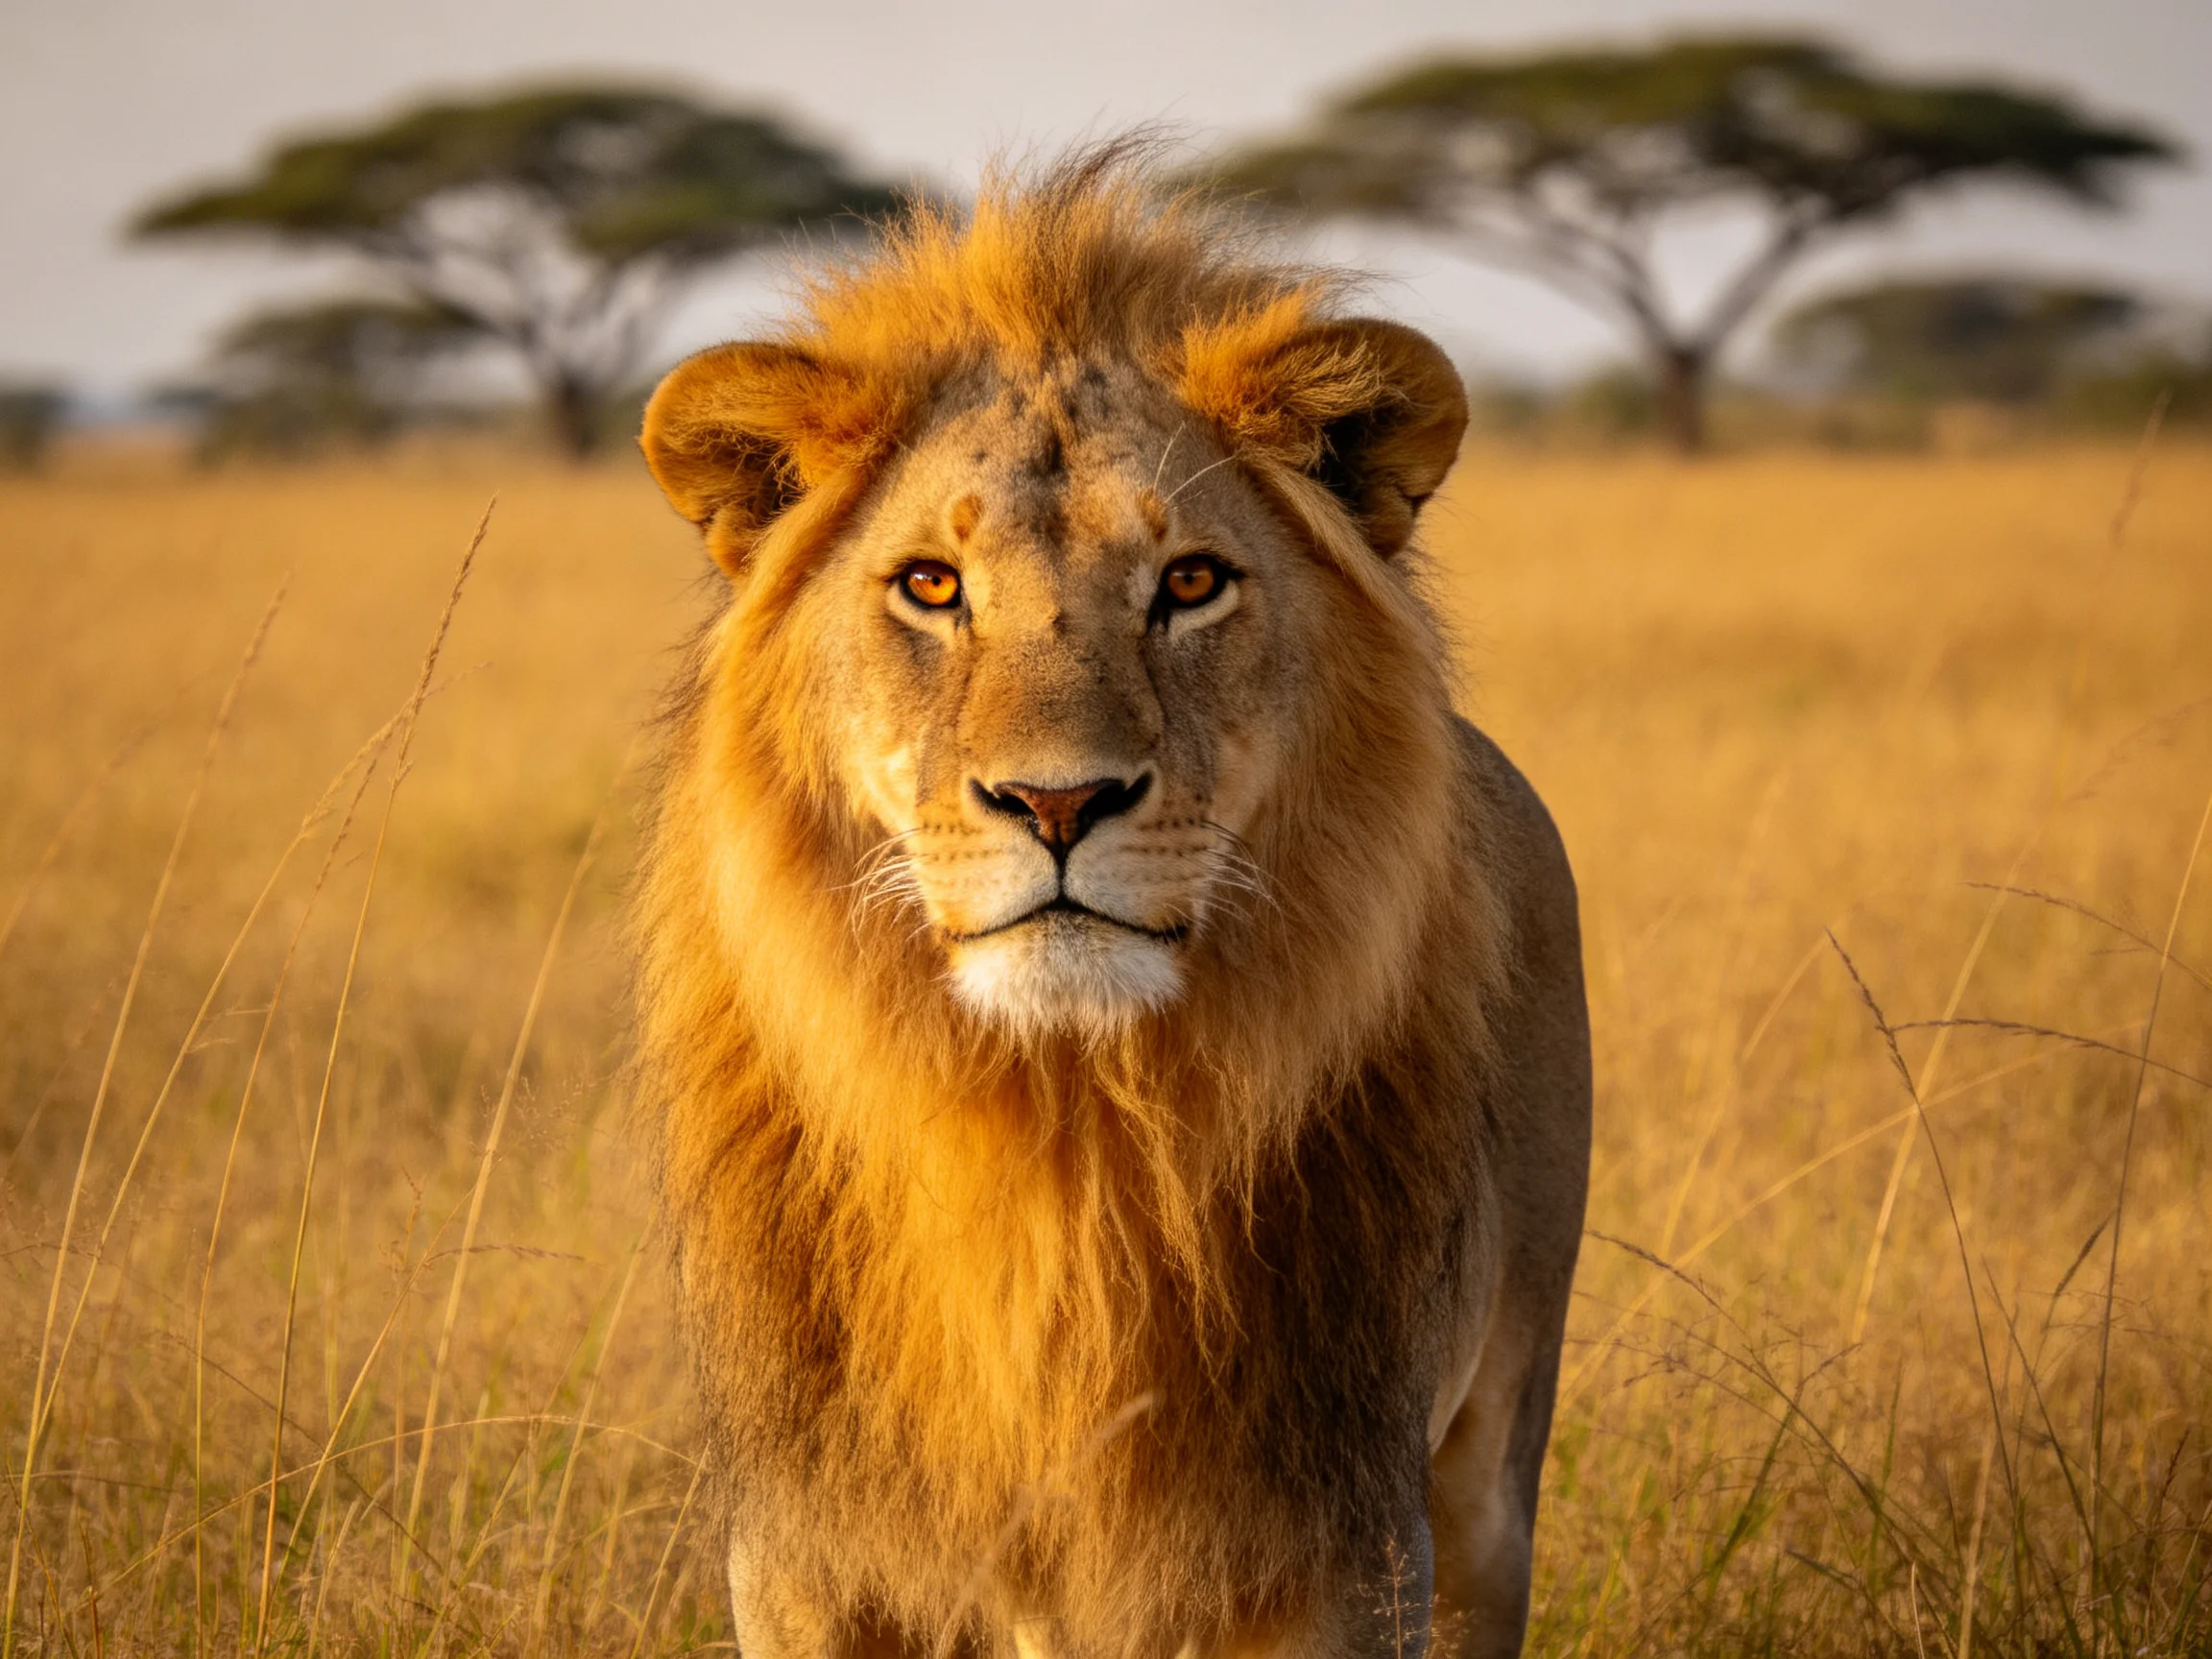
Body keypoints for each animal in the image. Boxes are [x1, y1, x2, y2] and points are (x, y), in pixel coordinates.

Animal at [633, 147, 1590, 1659]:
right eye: (931, 585)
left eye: (1189, 582)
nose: (1059, 803)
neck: (1060, 1126)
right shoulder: (809, 1545)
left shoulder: (1342, 1537)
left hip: (1494, 1466)